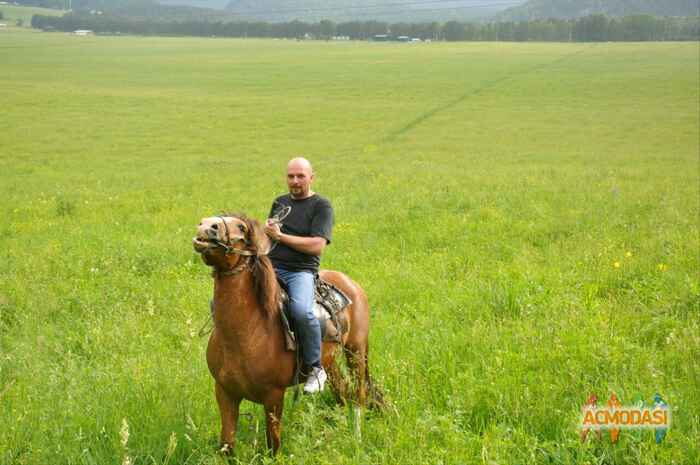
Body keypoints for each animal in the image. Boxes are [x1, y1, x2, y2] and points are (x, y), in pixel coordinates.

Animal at [191, 213, 380, 454]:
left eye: (241, 227)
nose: (206, 226)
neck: (246, 332)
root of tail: (351, 284)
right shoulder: (225, 392)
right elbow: (227, 445)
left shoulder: (273, 396)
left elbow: (273, 445)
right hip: (330, 362)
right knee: (342, 392)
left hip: (356, 352)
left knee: (359, 395)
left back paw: (357, 437)